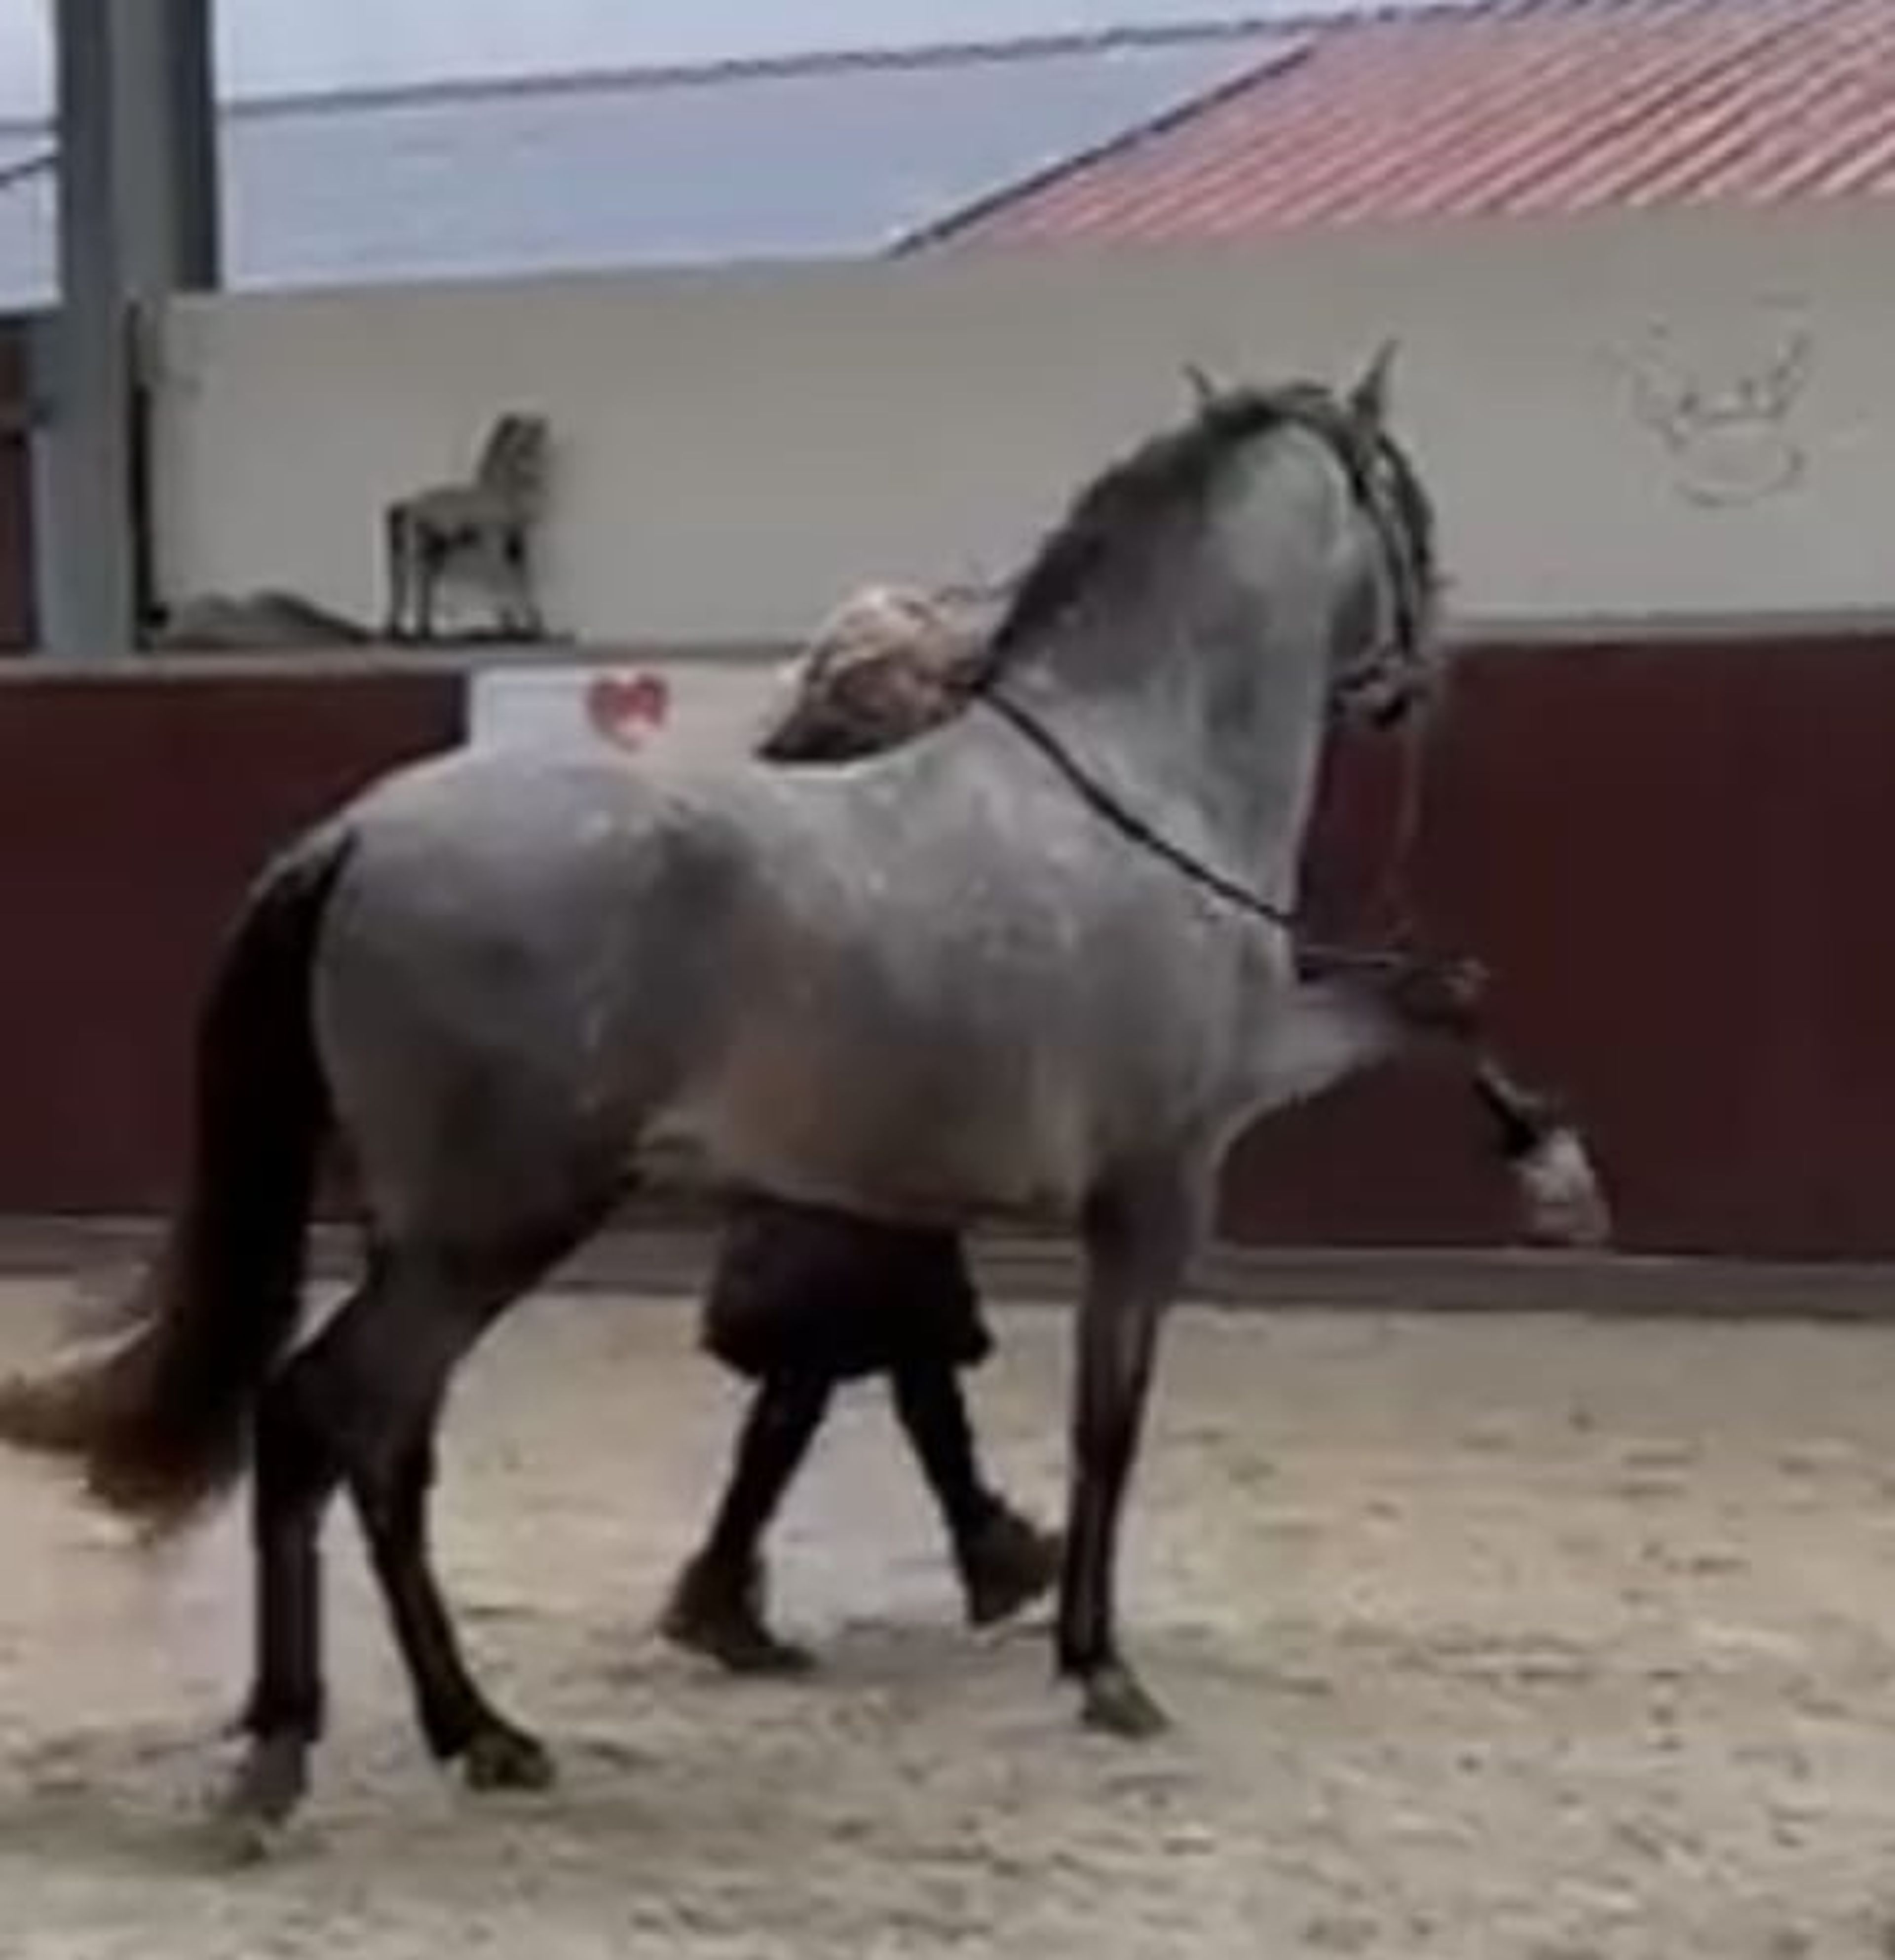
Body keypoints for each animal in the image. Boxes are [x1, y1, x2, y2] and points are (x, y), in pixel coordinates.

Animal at [0, 348, 1599, 1841]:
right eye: (1404, 495)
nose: (1425, 668)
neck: (1142, 786)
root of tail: (356, 835)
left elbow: (1439, 996)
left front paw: (1549, 1167)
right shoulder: (1163, 1179)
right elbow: (1111, 1421)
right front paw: (1101, 1669)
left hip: (444, 1239)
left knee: (386, 1443)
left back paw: (482, 1735)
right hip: (489, 1229)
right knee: (320, 1416)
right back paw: (290, 1754)